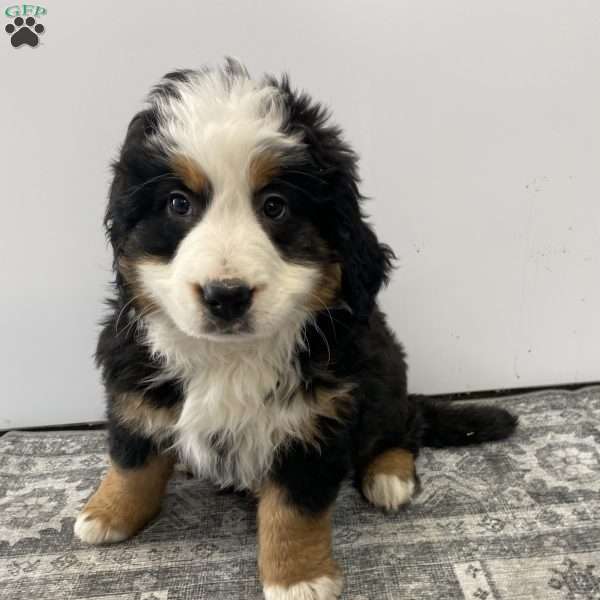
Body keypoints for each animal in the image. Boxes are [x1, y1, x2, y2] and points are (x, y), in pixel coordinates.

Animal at [75, 59, 516, 600]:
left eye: (274, 206)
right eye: (178, 204)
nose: (226, 295)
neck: (231, 358)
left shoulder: (315, 420)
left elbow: (293, 510)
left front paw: (298, 577)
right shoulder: (134, 380)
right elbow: (131, 460)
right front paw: (107, 513)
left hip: (383, 378)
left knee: (402, 428)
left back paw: (389, 477)